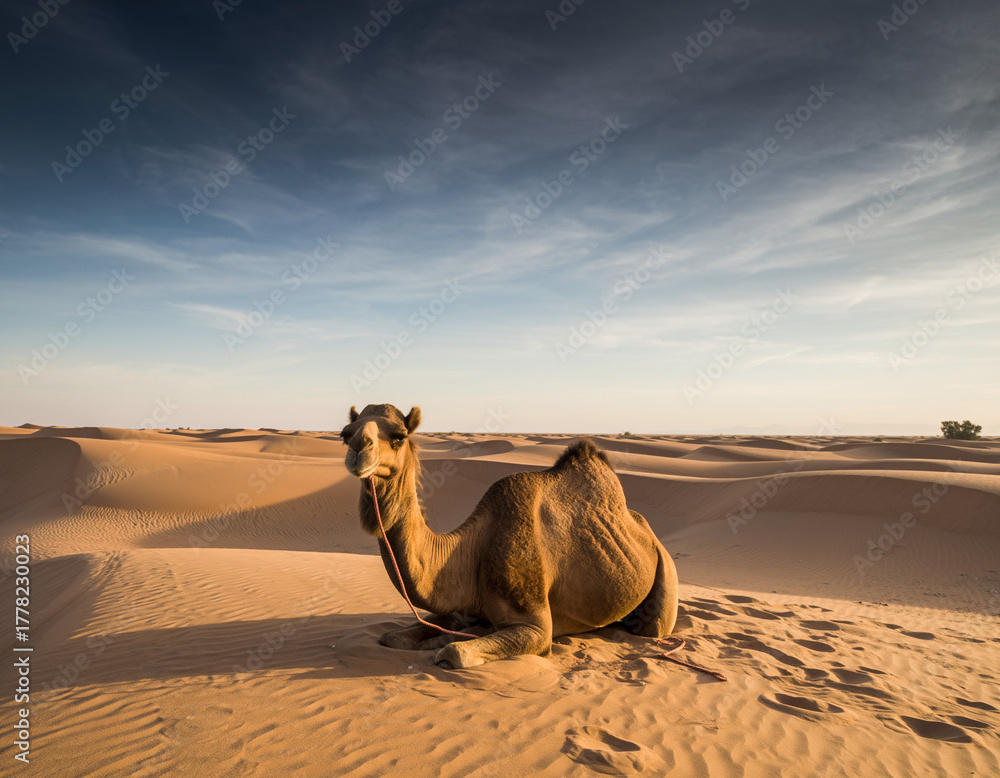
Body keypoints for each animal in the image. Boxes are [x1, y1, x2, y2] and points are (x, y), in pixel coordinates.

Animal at [340, 403, 678, 669]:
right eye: (345, 434)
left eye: (399, 436)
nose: (358, 449)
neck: (469, 550)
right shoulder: (460, 609)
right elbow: (393, 637)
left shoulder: (537, 628)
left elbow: (455, 653)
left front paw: (445, 644)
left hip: (664, 579)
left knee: (651, 627)